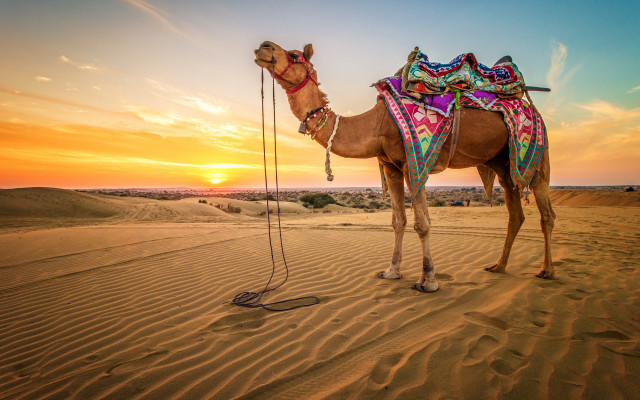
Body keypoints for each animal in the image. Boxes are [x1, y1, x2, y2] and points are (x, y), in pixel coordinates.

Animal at [254, 41, 556, 292]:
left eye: (294, 55)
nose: (264, 47)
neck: (375, 124)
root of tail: (531, 107)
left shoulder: (415, 162)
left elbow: (422, 223)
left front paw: (428, 280)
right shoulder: (391, 167)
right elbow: (398, 220)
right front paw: (391, 271)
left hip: (538, 154)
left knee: (546, 213)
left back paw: (546, 270)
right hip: (503, 163)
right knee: (515, 212)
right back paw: (498, 266)